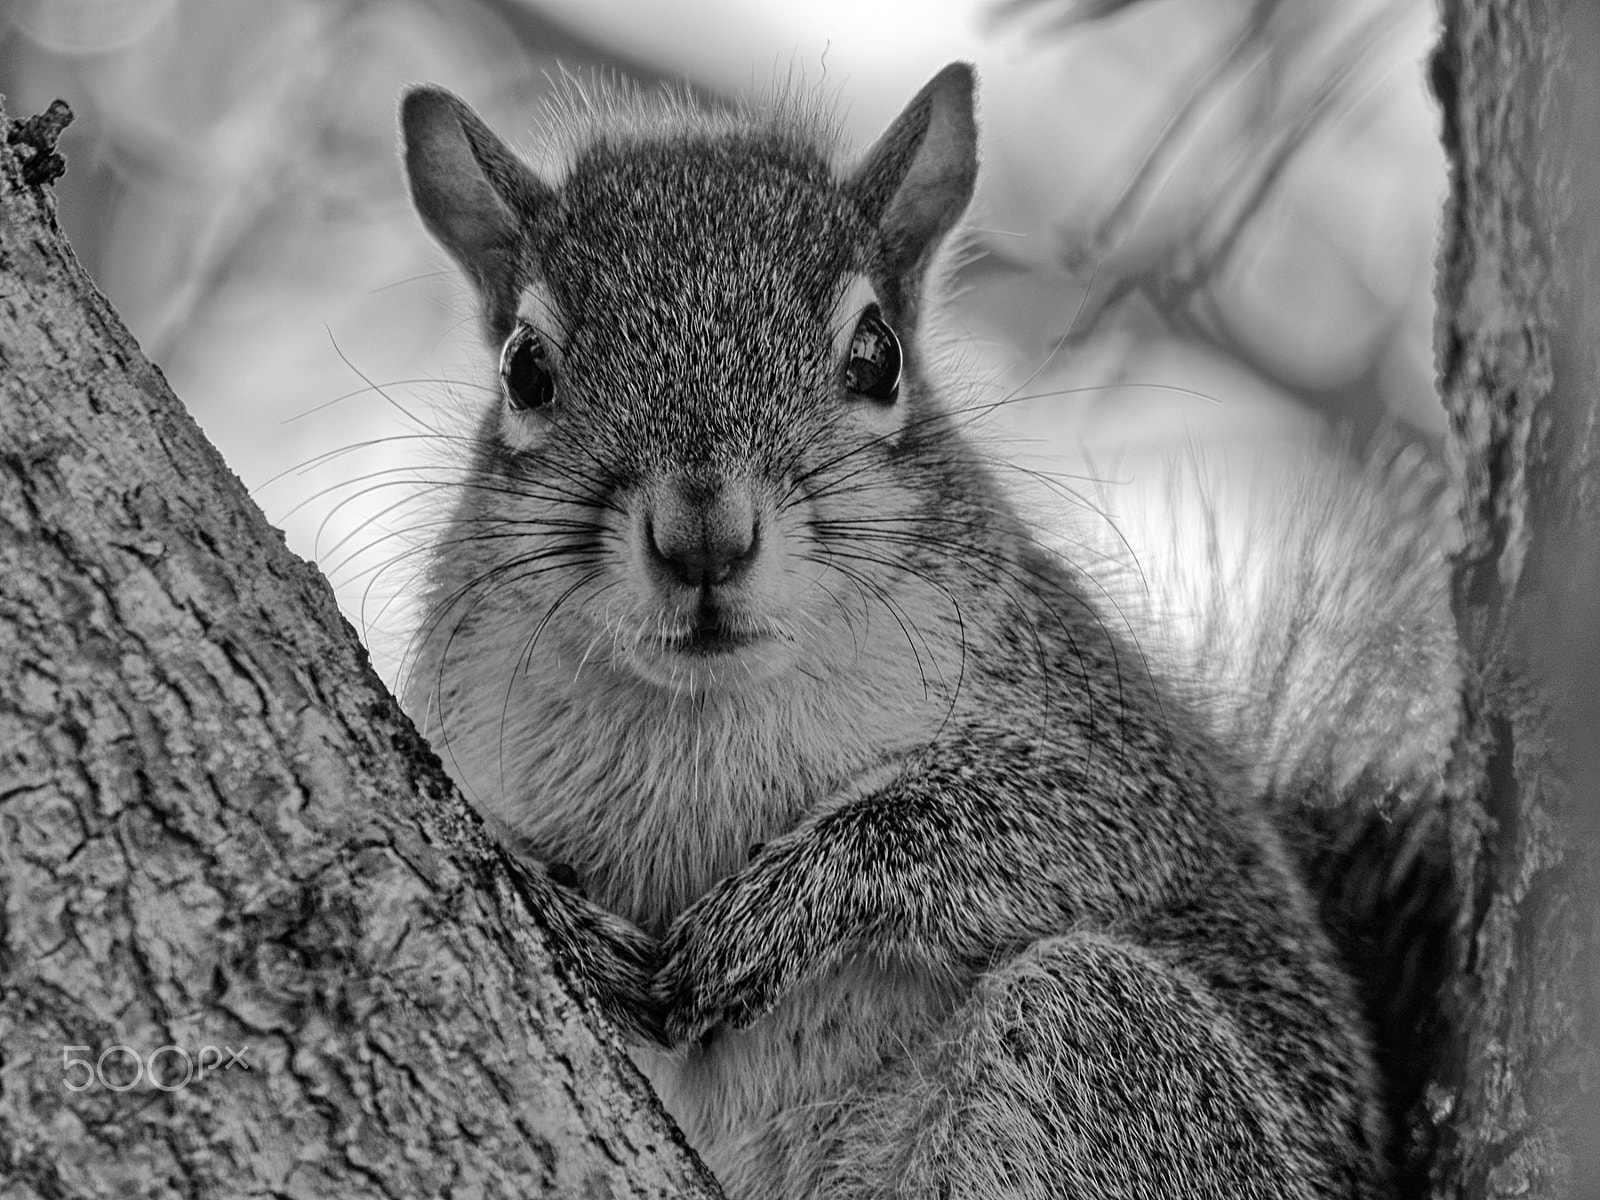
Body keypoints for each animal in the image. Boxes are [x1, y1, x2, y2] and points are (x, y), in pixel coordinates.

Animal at [395, 62, 1459, 1199]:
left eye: (878, 356)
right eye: (525, 369)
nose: (702, 537)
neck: (701, 709)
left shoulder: (1110, 757)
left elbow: (1050, 825)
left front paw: (779, 910)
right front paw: (552, 903)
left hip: (1121, 1048)